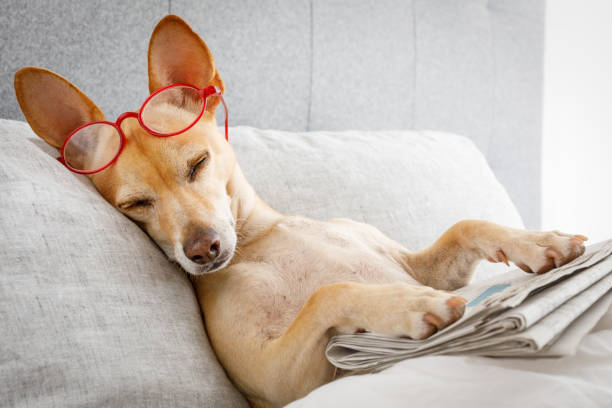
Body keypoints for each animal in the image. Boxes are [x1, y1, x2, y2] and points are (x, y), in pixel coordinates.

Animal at [15, 15, 588, 408]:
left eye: (198, 164)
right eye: (136, 205)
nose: (203, 251)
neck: (264, 236)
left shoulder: (426, 266)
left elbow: (465, 224)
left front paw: (539, 243)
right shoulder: (282, 381)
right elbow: (329, 294)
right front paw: (402, 304)